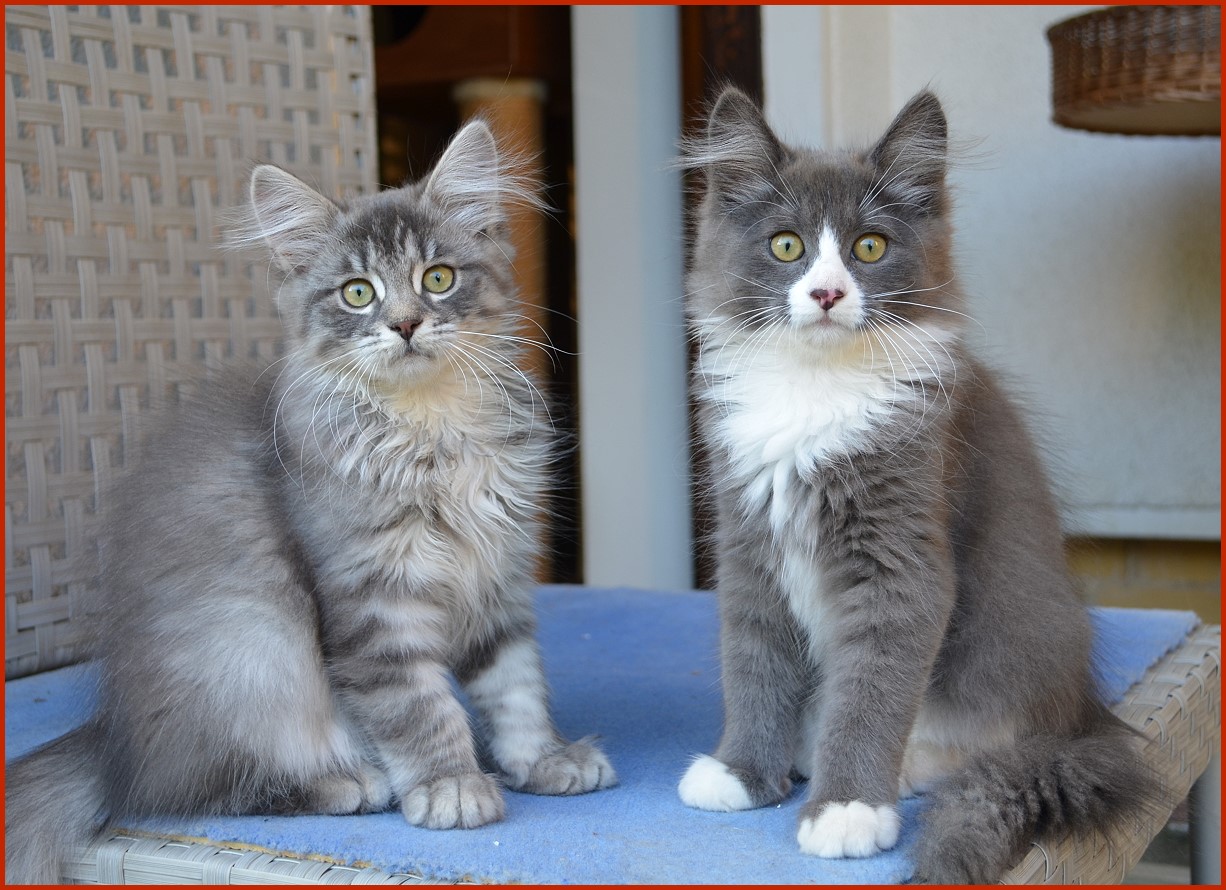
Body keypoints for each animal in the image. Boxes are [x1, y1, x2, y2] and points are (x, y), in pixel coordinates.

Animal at [5, 119, 615, 885]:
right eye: (357, 293)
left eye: (437, 279)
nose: (405, 324)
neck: (433, 429)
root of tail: (113, 737)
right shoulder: (370, 600)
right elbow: (419, 706)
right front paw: (449, 784)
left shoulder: (496, 579)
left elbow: (516, 685)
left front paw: (542, 759)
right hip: (255, 645)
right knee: (192, 788)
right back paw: (350, 781)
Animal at [675, 87, 1159, 883]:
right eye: (787, 246)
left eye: (870, 247)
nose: (829, 292)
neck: (816, 388)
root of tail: (1086, 712)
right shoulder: (748, 540)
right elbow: (754, 663)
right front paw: (742, 772)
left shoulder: (899, 556)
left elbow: (871, 693)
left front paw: (848, 808)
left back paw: (893, 770)